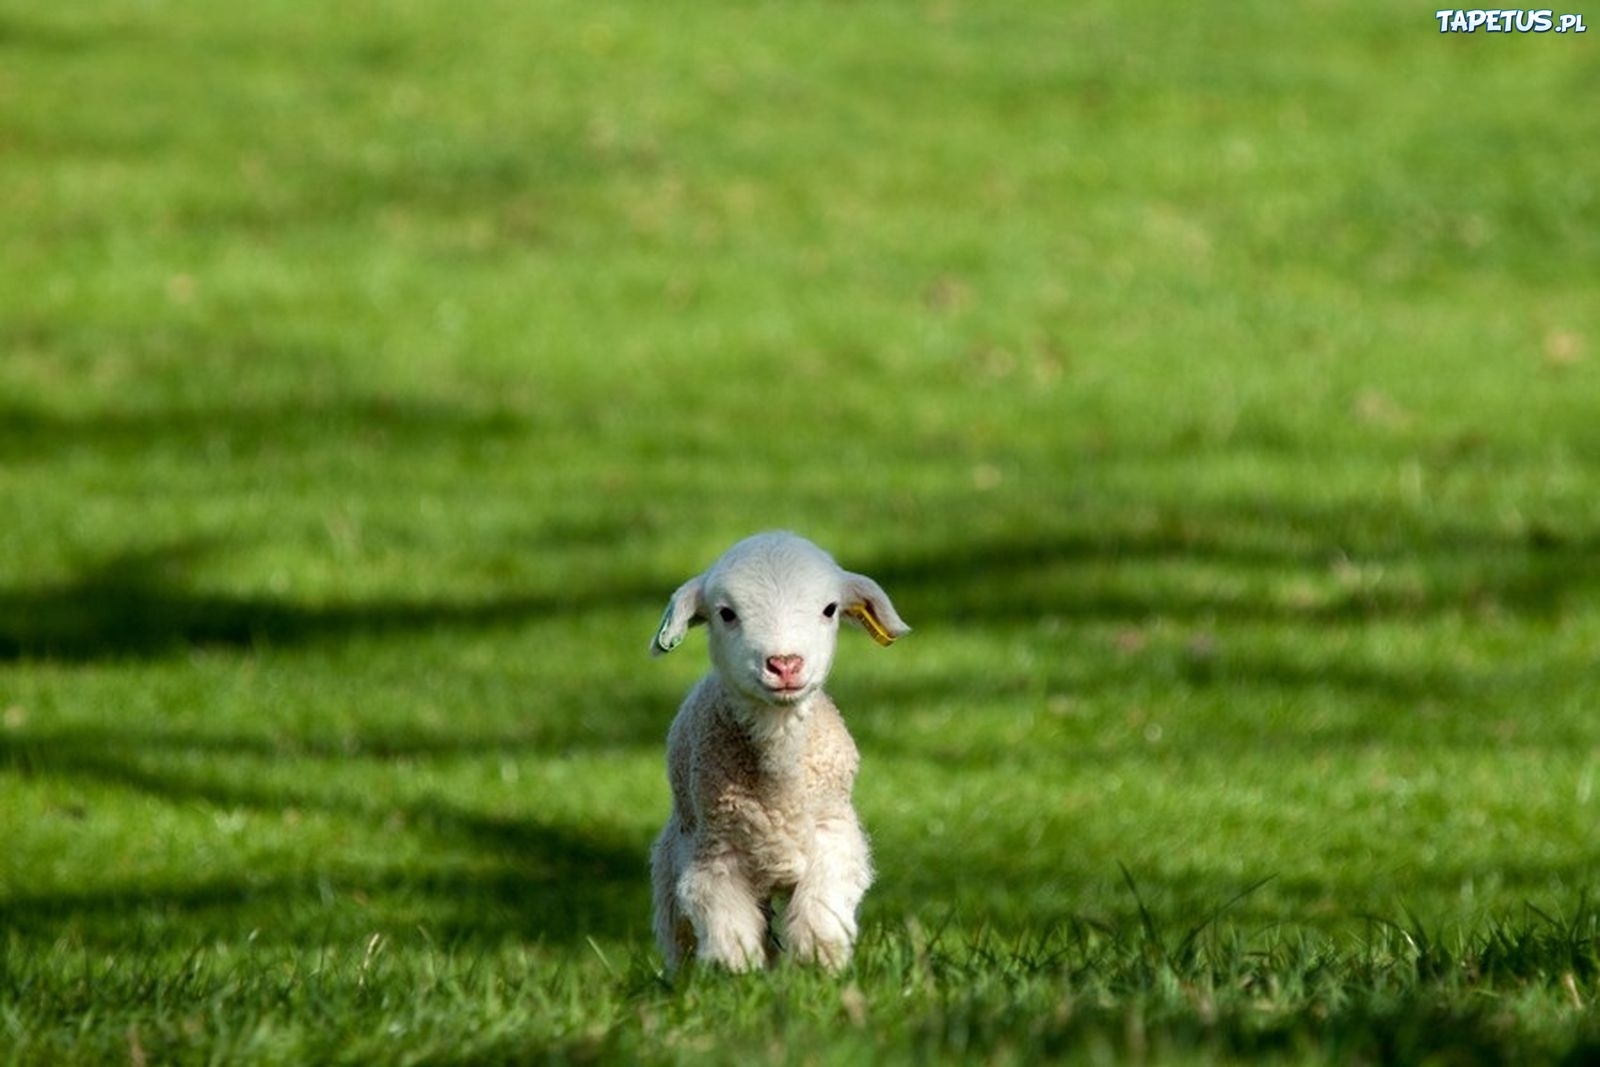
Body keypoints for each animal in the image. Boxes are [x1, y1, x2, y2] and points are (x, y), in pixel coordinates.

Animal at [643, 531, 908, 972]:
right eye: (726, 613)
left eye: (830, 609)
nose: (784, 664)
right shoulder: (715, 854)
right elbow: (730, 934)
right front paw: (739, 977)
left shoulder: (833, 836)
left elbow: (821, 917)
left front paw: (818, 970)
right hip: (672, 857)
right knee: (680, 936)